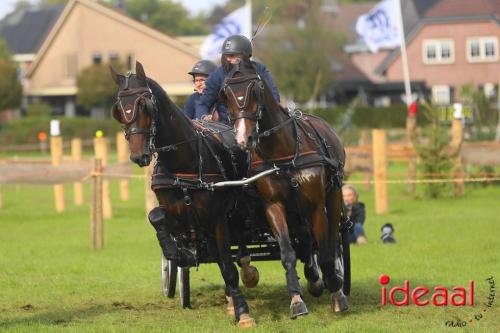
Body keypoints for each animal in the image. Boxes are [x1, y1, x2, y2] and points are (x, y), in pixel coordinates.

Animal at [110, 61, 258, 326]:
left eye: (145, 105)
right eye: (119, 109)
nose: (138, 156)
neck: (184, 162)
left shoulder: (217, 218)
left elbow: (228, 267)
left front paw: (243, 312)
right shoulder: (176, 213)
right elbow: (156, 218)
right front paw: (174, 253)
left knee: (237, 246)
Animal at [221, 57, 350, 316]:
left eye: (256, 89)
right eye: (226, 94)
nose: (243, 139)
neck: (284, 152)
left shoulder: (316, 205)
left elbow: (326, 252)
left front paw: (337, 294)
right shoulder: (274, 206)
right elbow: (288, 252)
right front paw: (296, 300)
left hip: (332, 196)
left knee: (331, 239)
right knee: (305, 240)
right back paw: (313, 278)